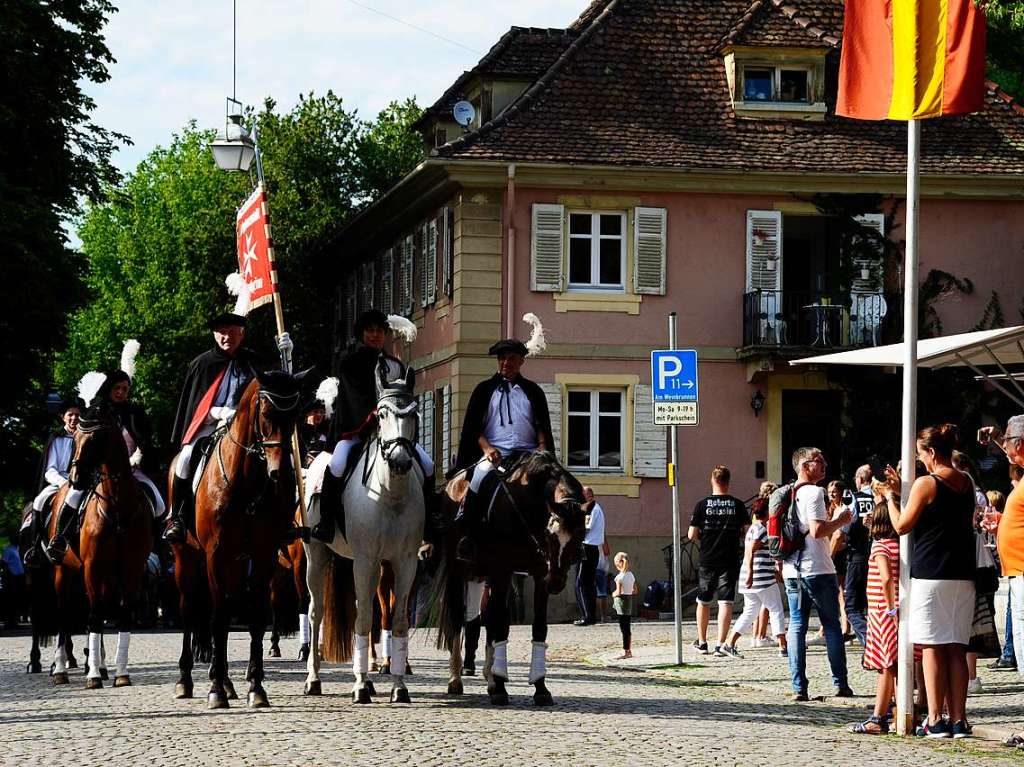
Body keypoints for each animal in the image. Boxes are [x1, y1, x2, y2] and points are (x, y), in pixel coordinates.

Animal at [48, 403, 151, 684]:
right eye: (74, 440)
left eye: (95, 439)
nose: (76, 478)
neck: (117, 507)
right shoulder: (92, 567)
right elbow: (93, 617)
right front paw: (92, 675)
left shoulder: (130, 569)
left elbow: (122, 615)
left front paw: (121, 673)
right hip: (64, 571)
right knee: (63, 615)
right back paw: (61, 670)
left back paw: (103, 666)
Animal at [174, 368, 307, 708]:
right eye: (266, 413)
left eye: (295, 415)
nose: (282, 474)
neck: (246, 482)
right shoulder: (215, 555)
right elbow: (219, 619)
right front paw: (215, 690)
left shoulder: (262, 555)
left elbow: (257, 618)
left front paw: (255, 687)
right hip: (187, 559)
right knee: (190, 610)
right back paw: (186, 680)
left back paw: (225, 679)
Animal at [299, 356, 423, 704]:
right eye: (381, 415)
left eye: (414, 414)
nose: (400, 461)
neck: (390, 495)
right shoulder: (365, 560)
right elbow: (365, 618)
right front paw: (358, 686)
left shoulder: (404, 562)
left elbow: (398, 620)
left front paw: (398, 686)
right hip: (318, 556)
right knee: (316, 612)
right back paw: (314, 679)